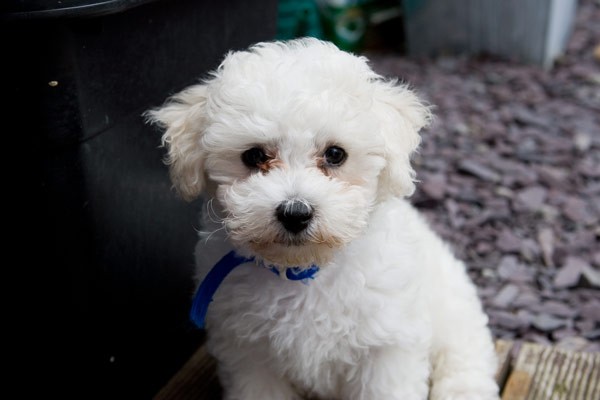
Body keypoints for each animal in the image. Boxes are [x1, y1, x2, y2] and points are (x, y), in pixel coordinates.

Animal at [148, 38, 500, 400]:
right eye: (254, 156)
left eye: (335, 154)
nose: (295, 213)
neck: (303, 271)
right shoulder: (249, 353)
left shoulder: (387, 345)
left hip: (454, 312)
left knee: (465, 358)